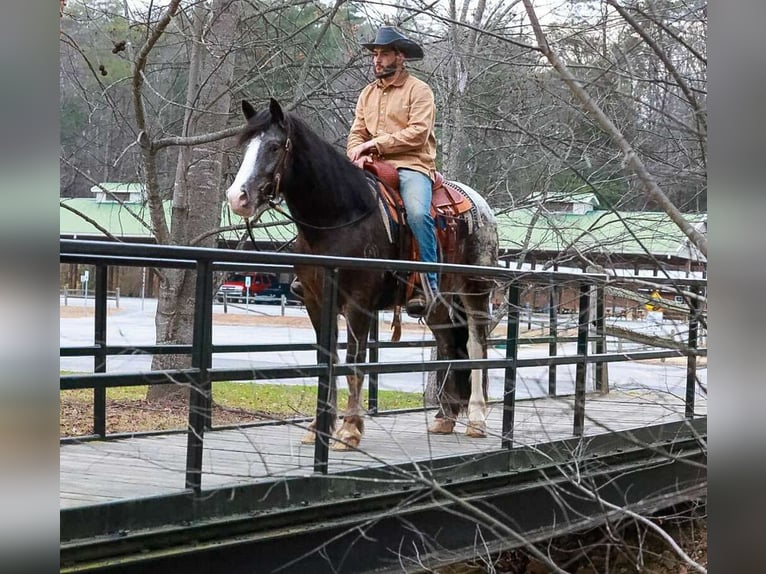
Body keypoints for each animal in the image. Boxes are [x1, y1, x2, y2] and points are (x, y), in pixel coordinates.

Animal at [226, 98, 499, 450]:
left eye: (273, 146)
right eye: (245, 145)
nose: (237, 197)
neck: (339, 218)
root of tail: (481, 205)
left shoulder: (358, 304)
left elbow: (354, 361)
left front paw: (349, 430)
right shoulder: (316, 302)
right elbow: (326, 360)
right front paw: (317, 427)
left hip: (475, 290)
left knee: (478, 344)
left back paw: (476, 419)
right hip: (438, 303)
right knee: (450, 344)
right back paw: (444, 418)